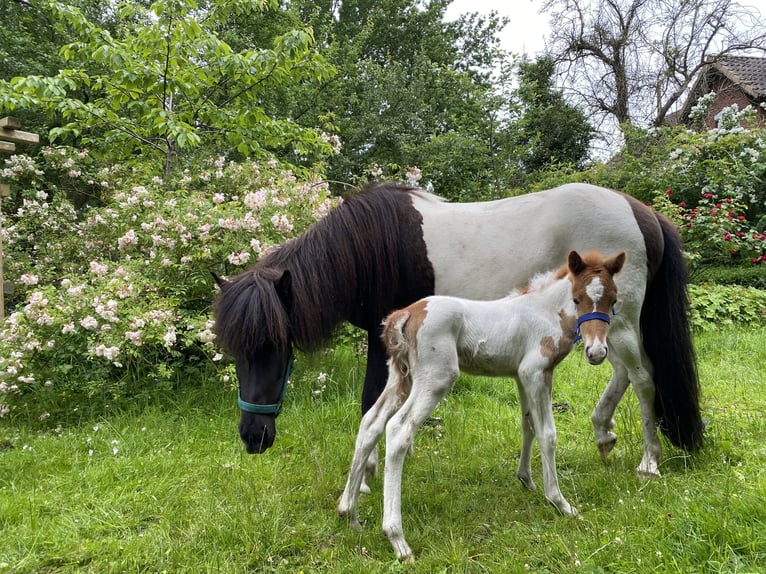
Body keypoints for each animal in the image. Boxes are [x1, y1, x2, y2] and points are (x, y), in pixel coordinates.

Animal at [213, 182, 704, 480]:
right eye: (236, 351)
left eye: (273, 346)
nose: (252, 438)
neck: (371, 248)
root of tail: (641, 212)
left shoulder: (382, 340)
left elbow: (371, 404)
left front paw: (368, 474)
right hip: (602, 324)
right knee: (623, 372)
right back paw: (603, 434)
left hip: (617, 321)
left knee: (643, 378)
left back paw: (649, 461)